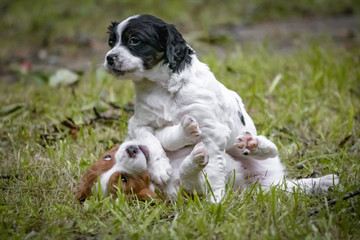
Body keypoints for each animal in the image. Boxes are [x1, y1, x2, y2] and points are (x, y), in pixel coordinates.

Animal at [103, 14, 338, 202]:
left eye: (134, 40)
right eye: (111, 42)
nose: (109, 58)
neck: (161, 86)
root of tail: (267, 182)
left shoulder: (212, 131)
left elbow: (213, 171)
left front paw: (216, 199)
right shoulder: (138, 123)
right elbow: (151, 141)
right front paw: (161, 168)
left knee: (271, 149)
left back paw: (255, 145)